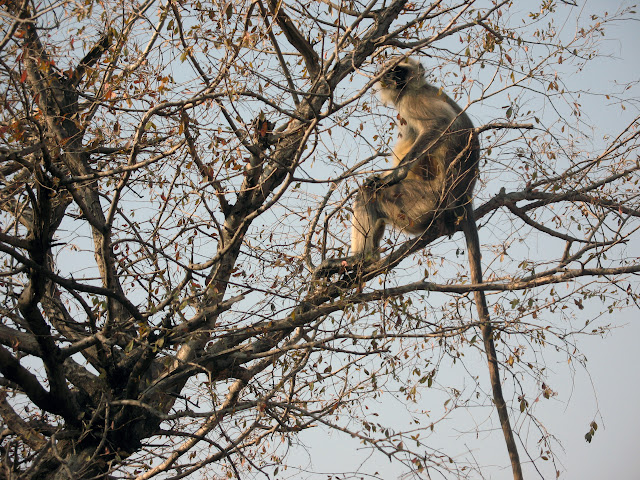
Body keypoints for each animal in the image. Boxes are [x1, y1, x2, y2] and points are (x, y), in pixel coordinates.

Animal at [350, 56, 480, 256]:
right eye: (390, 72)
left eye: (400, 71)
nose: (394, 80)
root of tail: (465, 195)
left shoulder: (411, 99)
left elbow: (441, 123)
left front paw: (393, 176)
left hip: (424, 199)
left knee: (369, 193)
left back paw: (361, 259)